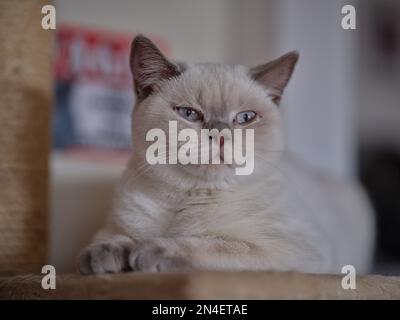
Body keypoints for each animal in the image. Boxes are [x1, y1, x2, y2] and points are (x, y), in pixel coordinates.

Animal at [77, 35, 376, 276]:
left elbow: (214, 245)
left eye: (245, 118)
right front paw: (105, 257)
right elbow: (112, 238)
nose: (220, 135)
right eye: (189, 114)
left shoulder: (292, 248)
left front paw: (149, 252)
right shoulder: (114, 225)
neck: (188, 196)